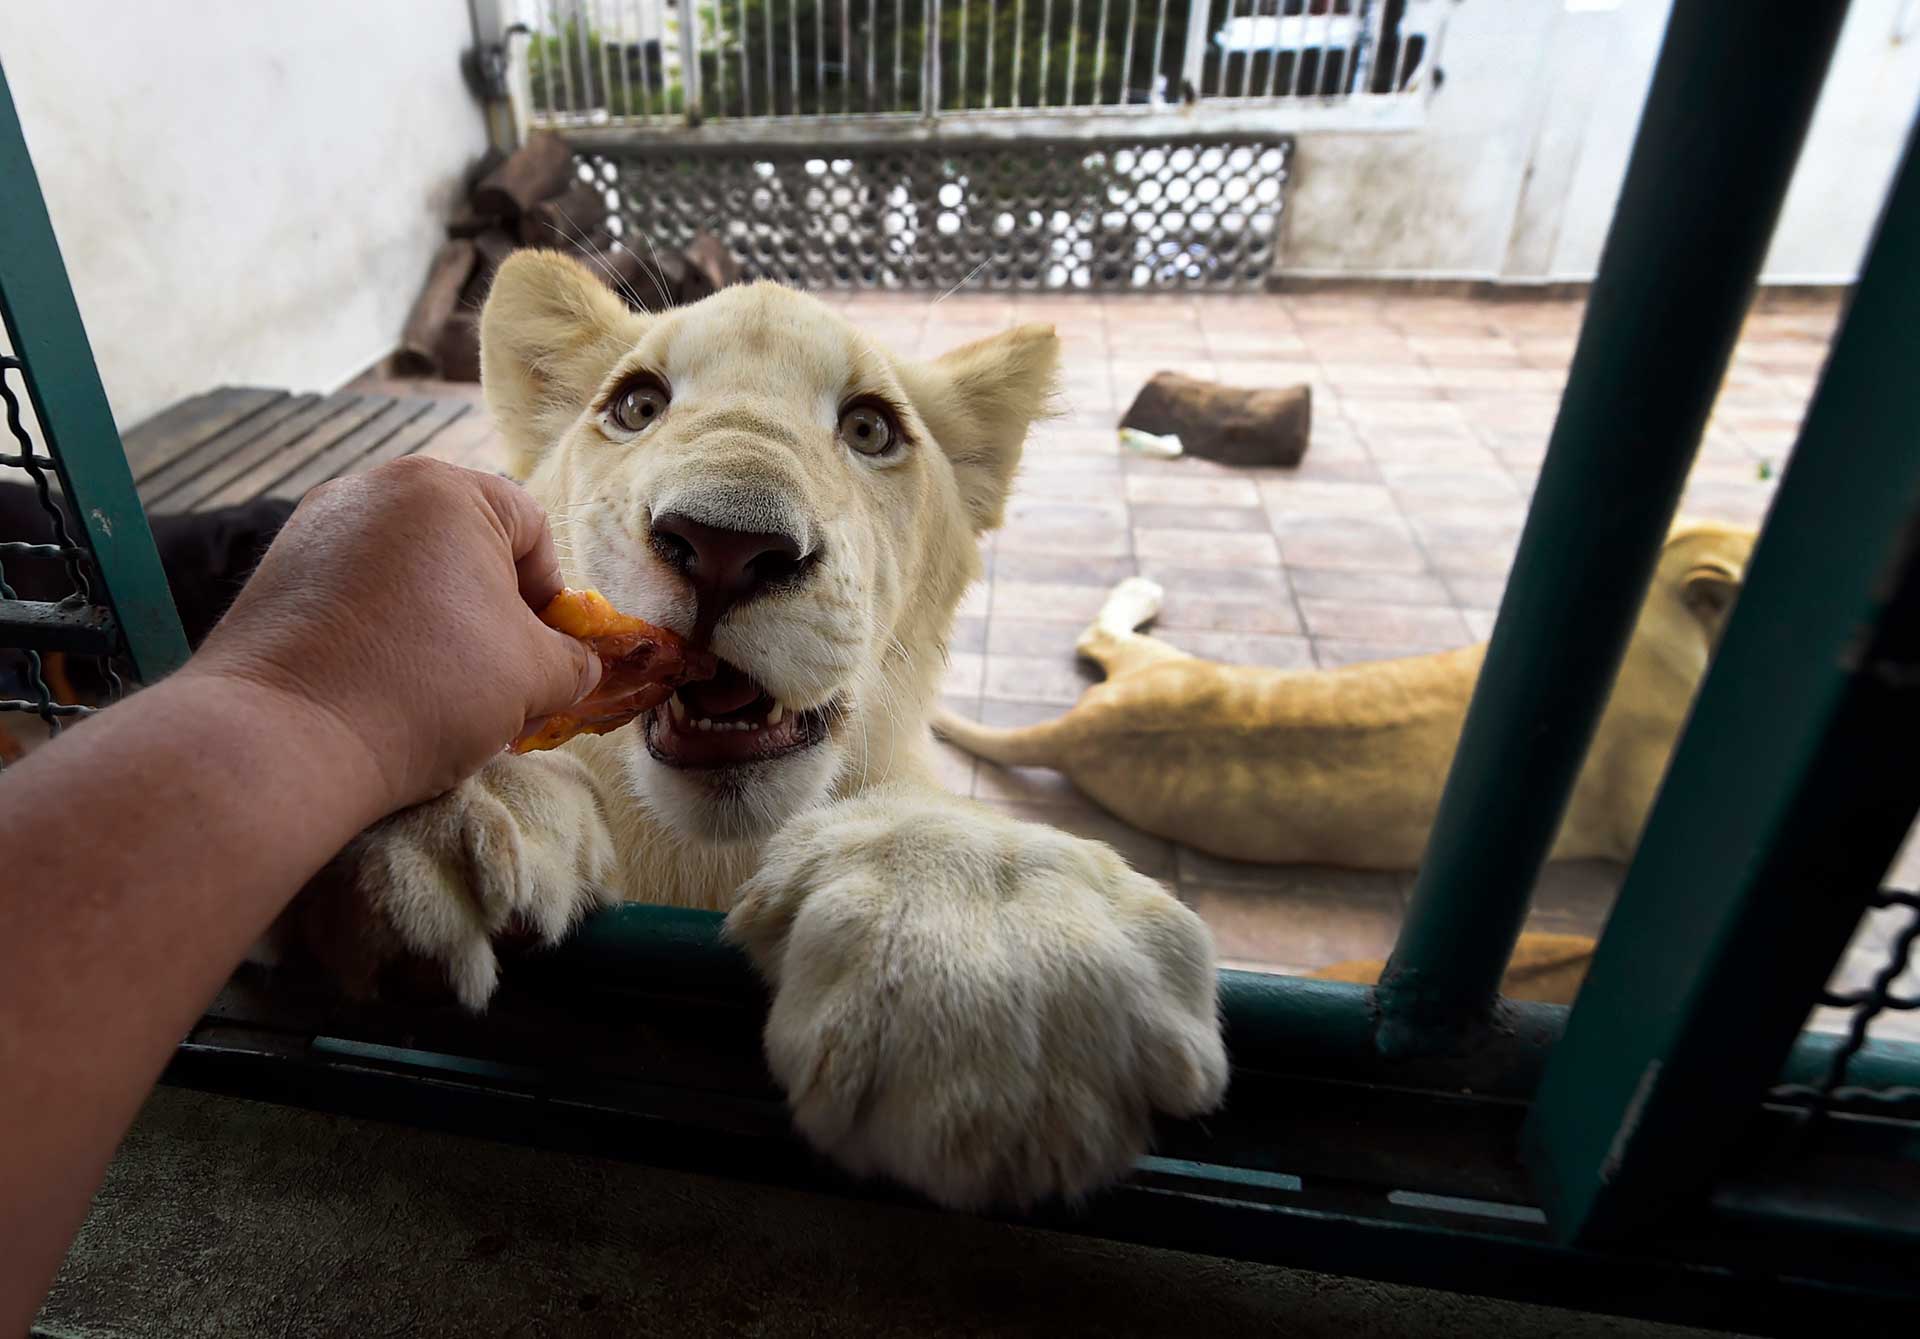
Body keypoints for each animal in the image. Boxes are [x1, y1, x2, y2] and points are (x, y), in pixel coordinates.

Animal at [295, 247, 1228, 1214]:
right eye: (639, 406)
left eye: (868, 428)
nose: (724, 545)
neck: (705, 857)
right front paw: (441, 827)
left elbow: (939, 825)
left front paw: (992, 970)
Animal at [929, 522, 1758, 868]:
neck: (1656, 621)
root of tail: (1080, 726)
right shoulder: (1639, 822)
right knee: (1098, 634)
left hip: (1158, 666)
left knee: (1099, 637)